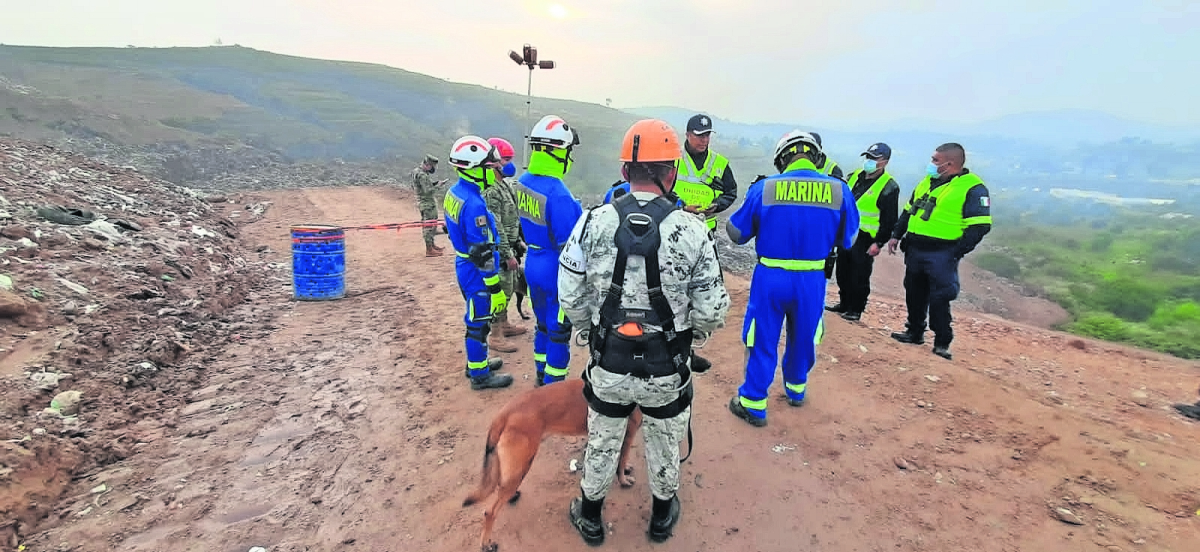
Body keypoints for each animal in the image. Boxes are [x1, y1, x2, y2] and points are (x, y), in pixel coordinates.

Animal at [460, 376, 648, 552]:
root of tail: (504, 413)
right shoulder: (628, 435)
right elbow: (621, 461)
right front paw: (623, 479)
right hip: (522, 466)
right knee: (489, 512)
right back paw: (486, 543)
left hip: (516, 467)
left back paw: (512, 497)